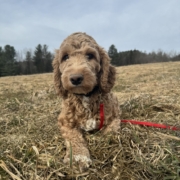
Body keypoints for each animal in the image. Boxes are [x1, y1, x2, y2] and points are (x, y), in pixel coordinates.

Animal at [52, 32, 120, 172]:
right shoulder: (65, 122)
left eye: (90, 55)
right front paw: (78, 157)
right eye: (65, 57)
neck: (85, 97)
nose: (75, 78)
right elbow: (74, 137)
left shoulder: (114, 118)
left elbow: (110, 131)